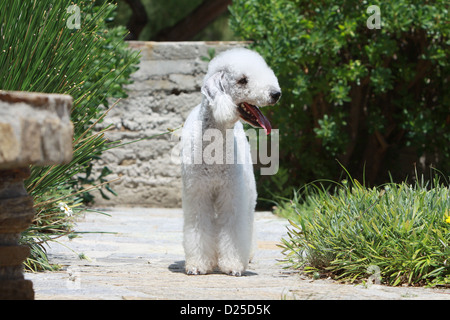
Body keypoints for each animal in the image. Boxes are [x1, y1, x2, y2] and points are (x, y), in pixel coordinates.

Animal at [180, 47, 280, 276]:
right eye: (243, 80)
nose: (276, 94)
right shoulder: (197, 193)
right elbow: (198, 227)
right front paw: (198, 265)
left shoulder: (232, 194)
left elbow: (234, 227)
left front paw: (233, 265)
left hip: (248, 188)